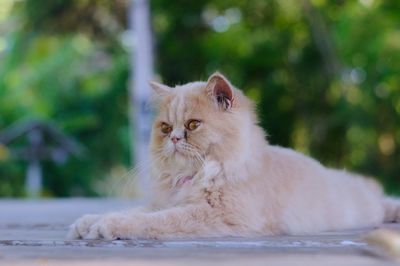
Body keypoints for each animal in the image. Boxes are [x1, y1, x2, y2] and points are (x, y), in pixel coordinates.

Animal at [68, 71, 400, 240]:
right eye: (165, 128)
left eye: (193, 125)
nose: (174, 138)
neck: (199, 175)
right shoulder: (165, 201)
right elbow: (139, 210)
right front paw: (89, 222)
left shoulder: (219, 215)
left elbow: (154, 220)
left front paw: (109, 226)